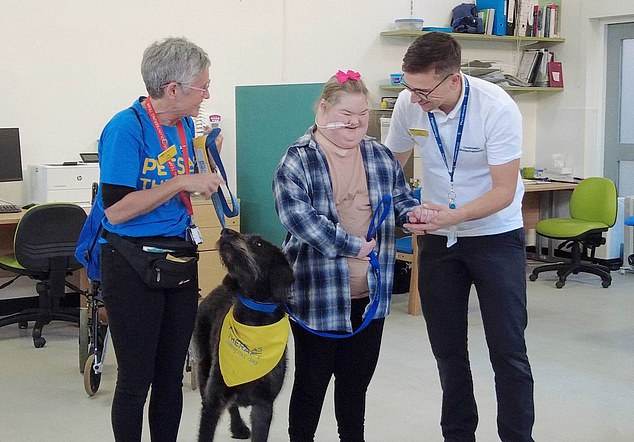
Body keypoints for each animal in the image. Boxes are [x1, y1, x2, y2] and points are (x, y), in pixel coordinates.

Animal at [194, 230, 292, 440]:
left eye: (258, 243)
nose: (226, 231)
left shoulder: (264, 404)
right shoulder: (213, 400)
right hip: (204, 367)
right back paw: (238, 426)